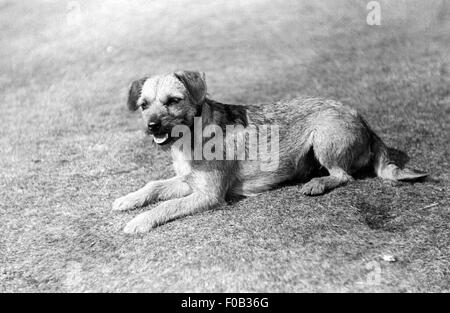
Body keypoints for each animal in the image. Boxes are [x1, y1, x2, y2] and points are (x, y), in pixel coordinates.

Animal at [111, 70, 426, 232]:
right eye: (143, 105)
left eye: (173, 100)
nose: (152, 126)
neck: (192, 136)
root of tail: (363, 119)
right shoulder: (188, 182)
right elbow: (154, 186)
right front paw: (130, 199)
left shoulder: (208, 195)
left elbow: (166, 205)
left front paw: (140, 220)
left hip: (323, 137)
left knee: (343, 175)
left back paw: (318, 183)